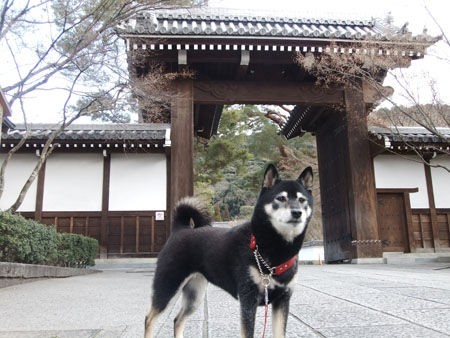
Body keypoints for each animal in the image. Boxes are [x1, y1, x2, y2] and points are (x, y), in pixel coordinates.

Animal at [144, 164, 312, 338]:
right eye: (281, 198)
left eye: (302, 200)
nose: (297, 212)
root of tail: (180, 229)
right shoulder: (248, 300)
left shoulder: (282, 300)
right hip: (168, 287)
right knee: (149, 319)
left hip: (195, 296)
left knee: (177, 320)